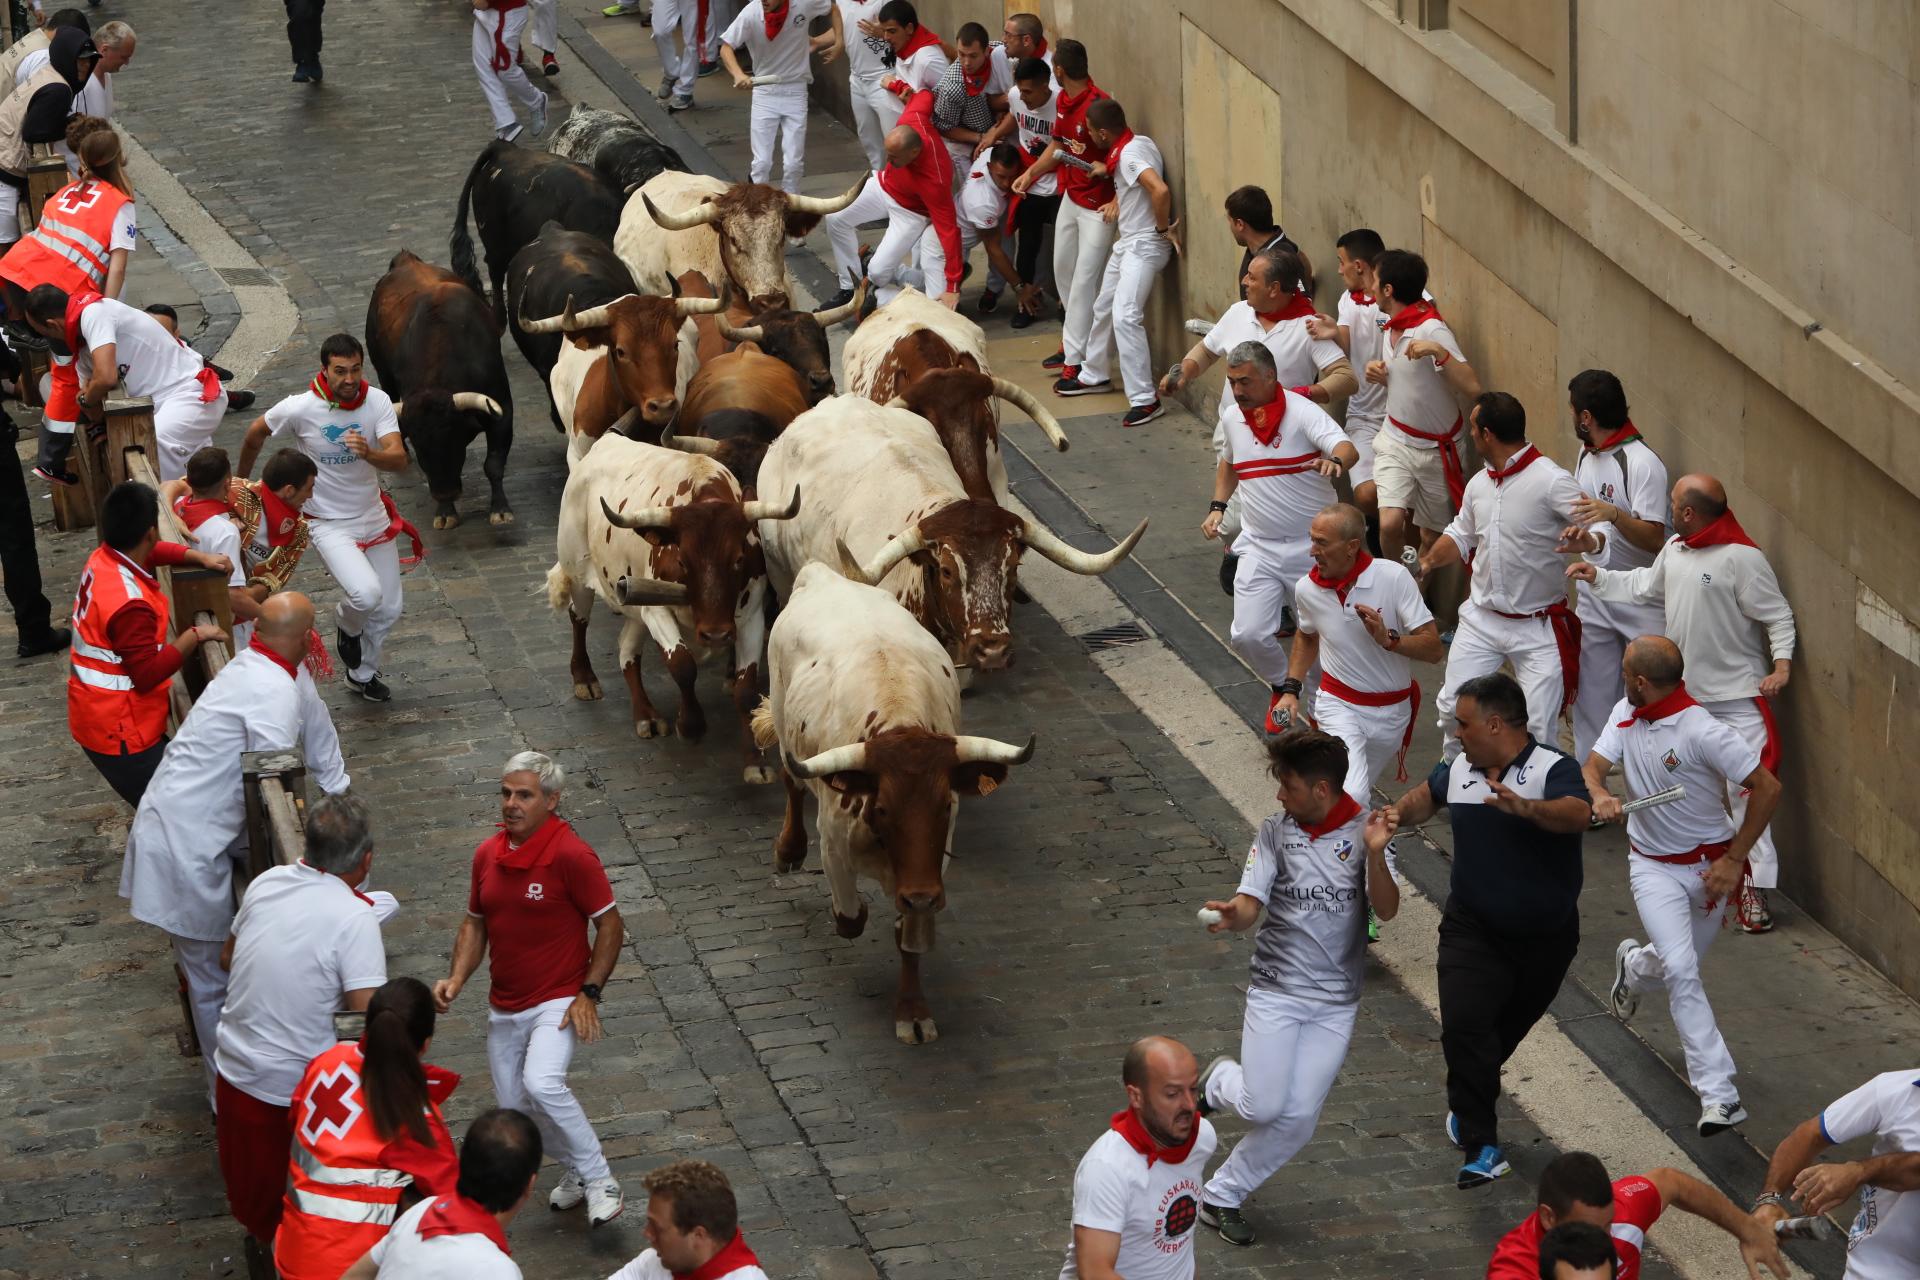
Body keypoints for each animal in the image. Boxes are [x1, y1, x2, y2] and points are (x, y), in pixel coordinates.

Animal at [549, 437, 802, 782]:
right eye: (683, 560)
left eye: (738, 559)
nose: (716, 634)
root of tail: (606, 441)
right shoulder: (657, 612)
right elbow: (682, 665)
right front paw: (691, 726)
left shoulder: (750, 615)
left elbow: (746, 689)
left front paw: (755, 761)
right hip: (577, 569)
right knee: (579, 618)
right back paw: (584, 678)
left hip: (633, 601)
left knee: (627, 649)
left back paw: (646, 714)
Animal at [748, 564, 1036, 1043]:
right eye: (882, 808)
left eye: (945, 807)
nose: (921, 895)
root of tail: (823, 575)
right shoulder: (834, 847)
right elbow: (850, 917)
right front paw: (855, 909)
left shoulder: (931, 869)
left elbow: (907, 936)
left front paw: (913, 1011)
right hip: (785, 718)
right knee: (791, 781)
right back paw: (788, 850)